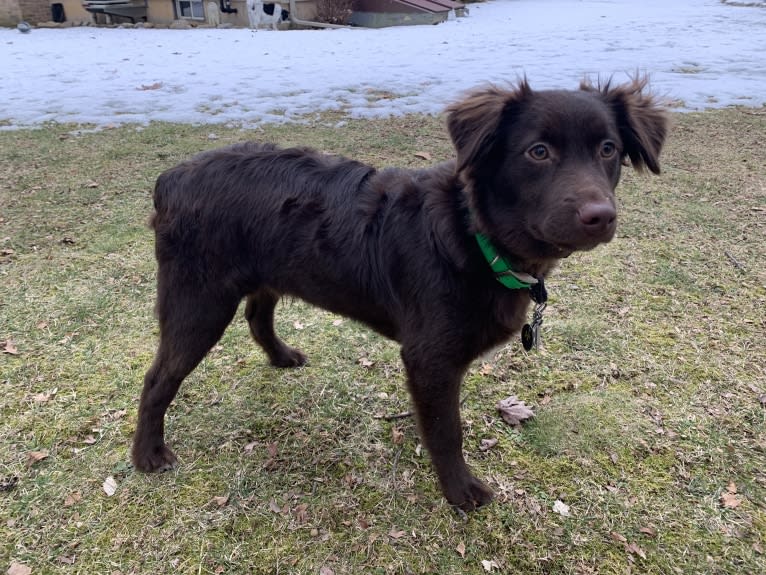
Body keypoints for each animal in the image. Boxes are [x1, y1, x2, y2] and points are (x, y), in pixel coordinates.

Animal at [135, 77, 668, 512]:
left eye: (608, 149)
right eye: (538, 152)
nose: (600, 216)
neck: (473, 234)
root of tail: (170, 178)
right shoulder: (430, 359)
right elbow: (447, 430)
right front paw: (459, 491)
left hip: (265, 273)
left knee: (257, 315)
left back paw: (281, 356)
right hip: (198, 301)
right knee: (158, 377)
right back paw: (147, 455)